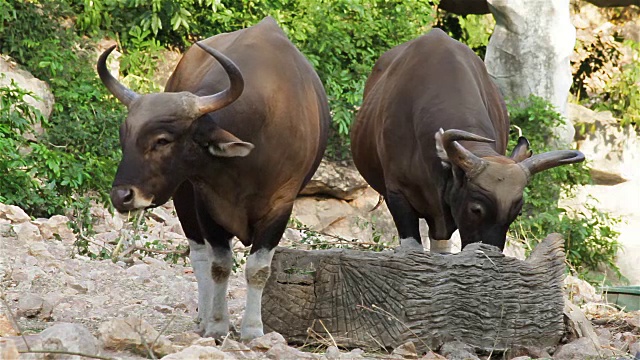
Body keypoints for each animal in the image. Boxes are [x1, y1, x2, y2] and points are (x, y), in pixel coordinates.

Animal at [101, 18, 330, 340]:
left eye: (162, 140)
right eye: (125, 137)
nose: (122, 196)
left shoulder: (281, 205)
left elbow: (259, 269)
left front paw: (252, 329)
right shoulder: (205, 201)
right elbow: (219, 265)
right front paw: (218, 323)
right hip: (183, 197)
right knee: (199, 257)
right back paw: (204, 316)